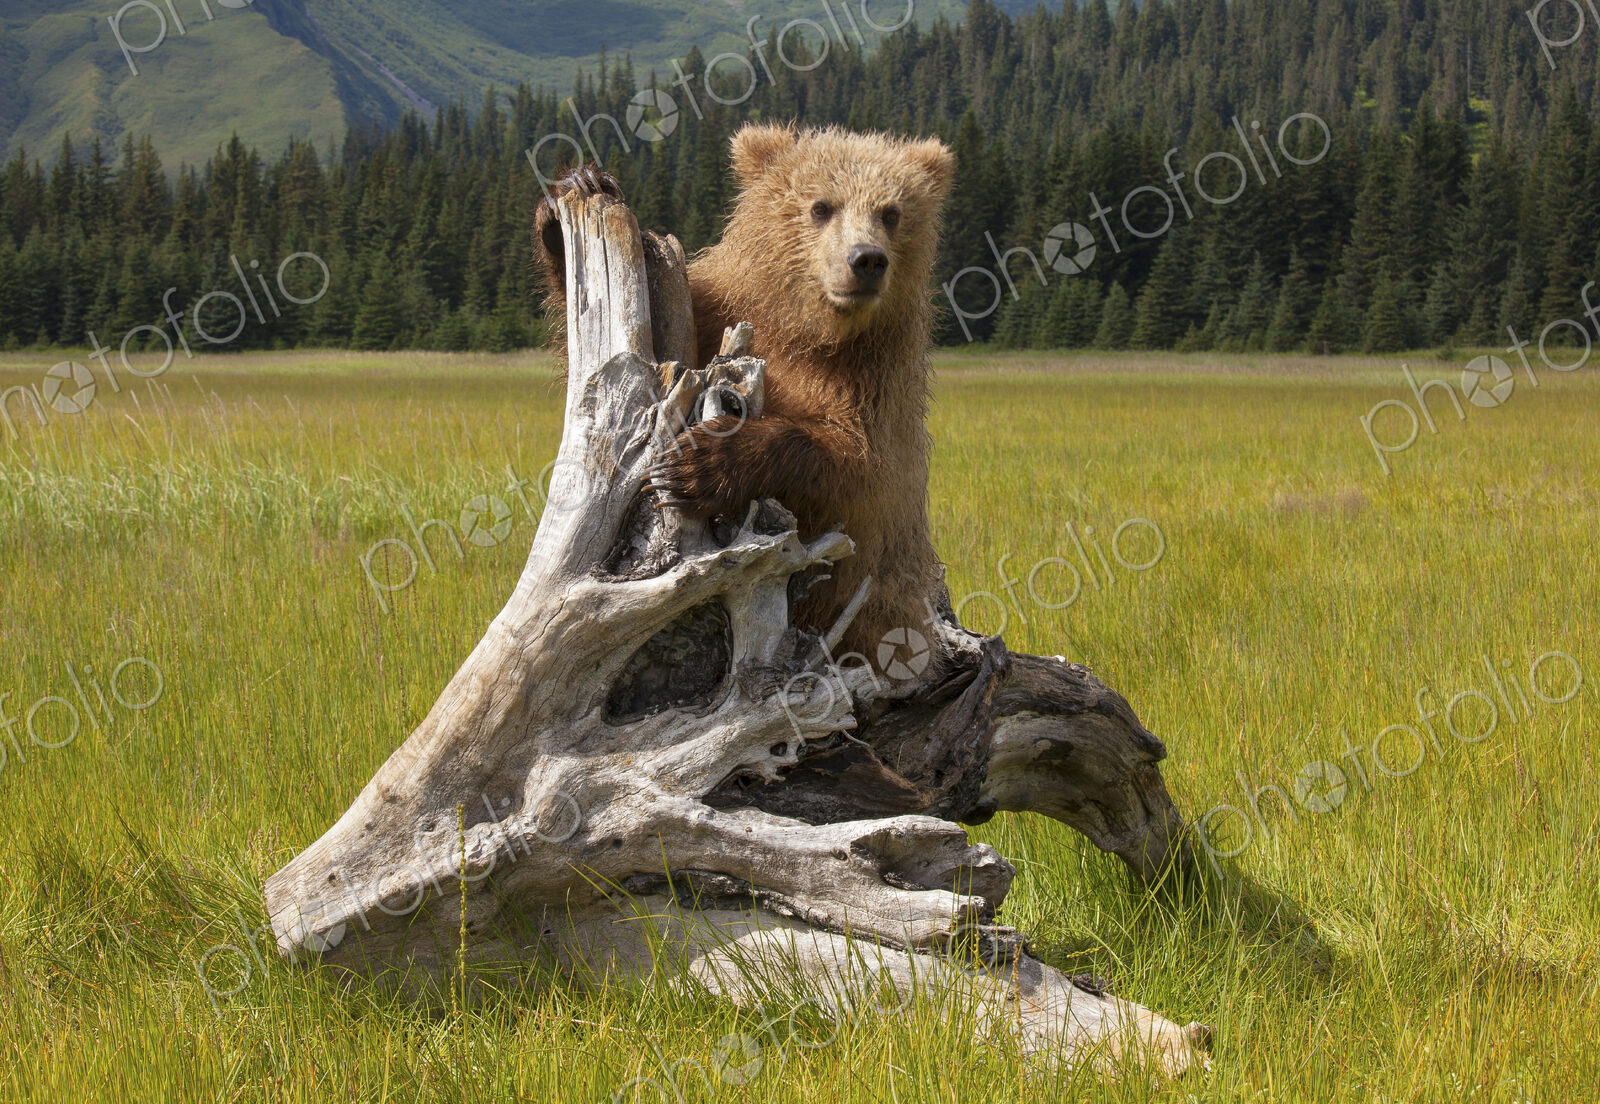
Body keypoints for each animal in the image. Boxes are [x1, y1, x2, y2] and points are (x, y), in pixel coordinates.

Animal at [534, 124, 955, 674]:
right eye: (822, 206)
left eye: (891, 211)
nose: (866, 260)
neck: (808, 330)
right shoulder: (717, 309)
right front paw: (579, 187)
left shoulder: (876, 381)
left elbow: (853, 465)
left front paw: (697, 464)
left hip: (884, 608)